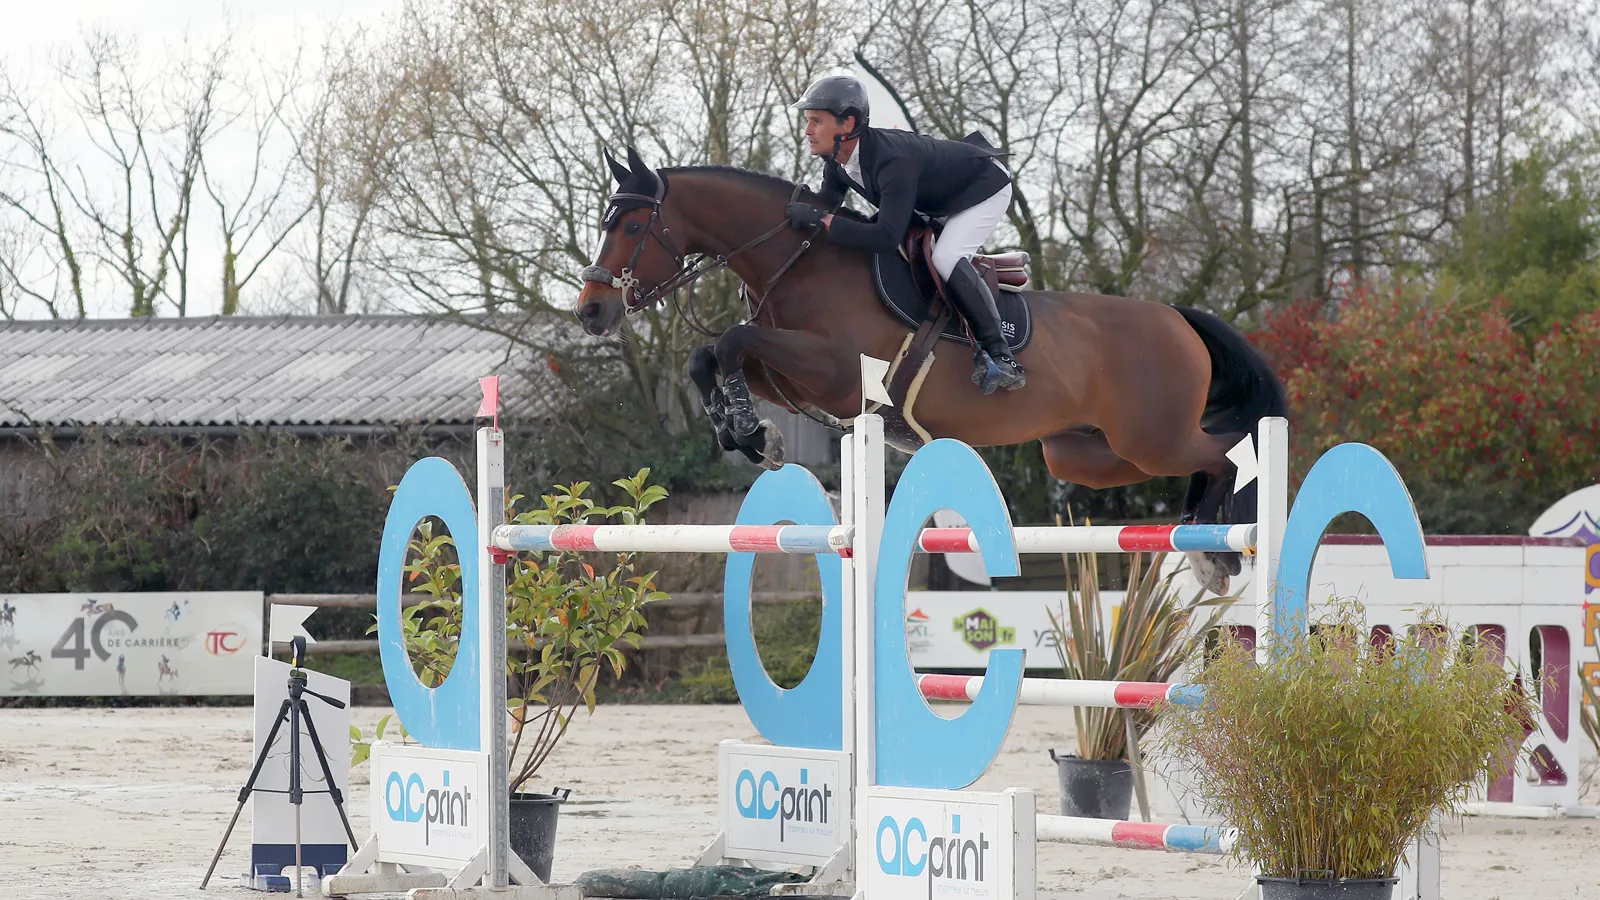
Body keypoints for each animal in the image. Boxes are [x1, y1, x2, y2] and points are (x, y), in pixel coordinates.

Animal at [575, 147, 1289, 592]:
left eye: (632, 225)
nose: (591, 311)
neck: (803, 261)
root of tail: (1176, 316)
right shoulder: (792, 370)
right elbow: (714, 353)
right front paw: (746, 433)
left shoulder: (837, 371)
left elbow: (731, 339)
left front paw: (754, 434)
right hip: (1088, 453)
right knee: (1194, 461)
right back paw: (1200, 542)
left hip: (1152, 436)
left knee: (1229, 451)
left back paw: (1214, 552)